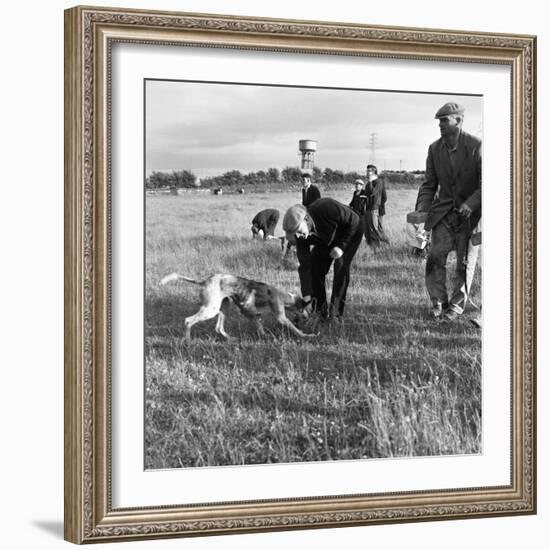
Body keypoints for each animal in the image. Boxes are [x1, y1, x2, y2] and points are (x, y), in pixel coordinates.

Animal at [160, 272, 314, 338]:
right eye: (306, 309)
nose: (308, 317)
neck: (281, 295)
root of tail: (205, 281)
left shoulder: (251, 314)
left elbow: (260, 328)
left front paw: (266, 337)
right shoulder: (281, 318)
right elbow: (295, 329)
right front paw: (307, 335)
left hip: (223, 308)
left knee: (218, 328)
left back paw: (231, 339)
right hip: (210, 310)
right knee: (188, 321)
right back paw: (187, 341)